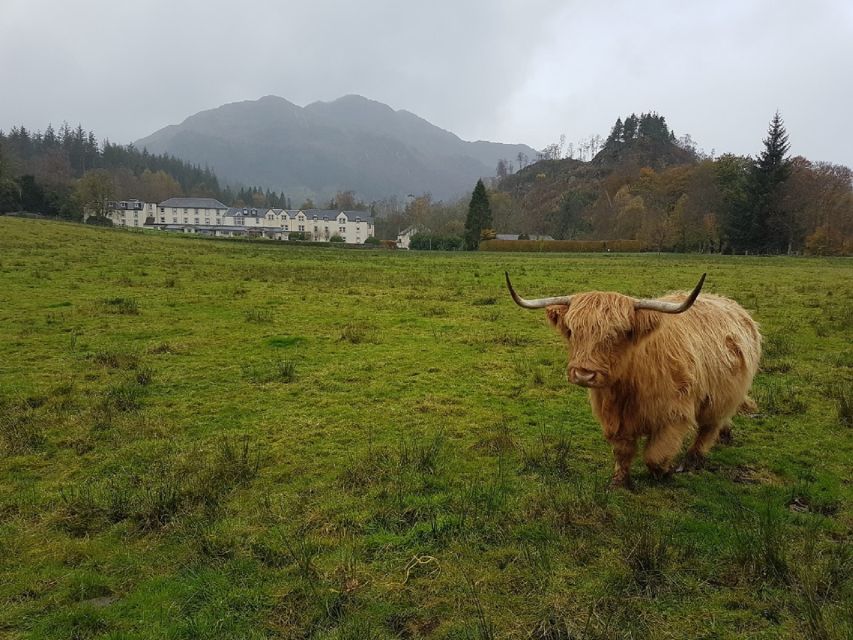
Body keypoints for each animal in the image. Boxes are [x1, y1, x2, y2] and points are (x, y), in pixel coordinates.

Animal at [506, 272, 761, 488]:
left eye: (618, 333)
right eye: (571, 331)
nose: (583, 373)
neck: (628, 384)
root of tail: (733, 306)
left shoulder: (675, 415)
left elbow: (655, 456)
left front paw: (664, 472)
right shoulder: (614, 418)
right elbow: (622, 450)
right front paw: (619, 481)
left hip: (722, 396)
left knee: (709, 427)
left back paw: (692, 460)